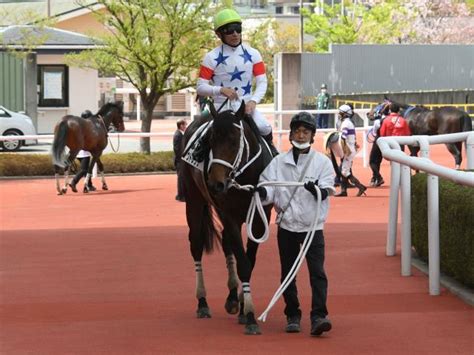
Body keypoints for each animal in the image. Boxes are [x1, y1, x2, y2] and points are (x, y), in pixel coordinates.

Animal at [181, 101, 272, 336]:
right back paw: (202, 302)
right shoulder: (229, 214)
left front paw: (241, 305)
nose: (216, 184)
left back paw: (232, 298)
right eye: (210, 141)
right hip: (194, 201)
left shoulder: (259, 218)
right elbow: (243, 263)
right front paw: (250, 314)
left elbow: (249, 260)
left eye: (233, 141)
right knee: (196, 245)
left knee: (226, 242)